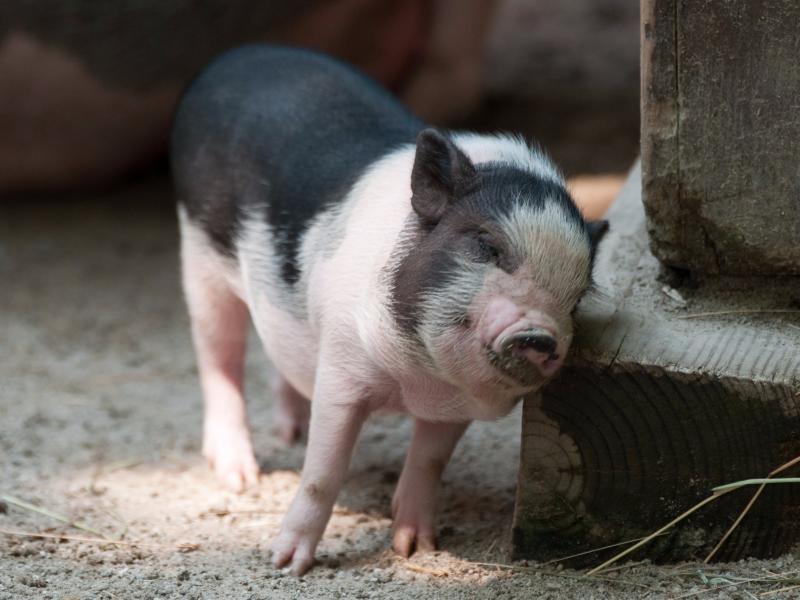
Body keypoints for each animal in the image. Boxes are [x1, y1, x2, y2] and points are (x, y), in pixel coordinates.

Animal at [170, 45, 607, 575]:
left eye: (578, 296)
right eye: (488, 246)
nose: (540, 334)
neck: (414, 380)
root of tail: (234, 57)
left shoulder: (451, 406)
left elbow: (429, 462)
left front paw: (416, 548)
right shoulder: (341, 368)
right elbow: (323, 470)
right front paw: (286, 564)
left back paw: (291, 432)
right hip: (198, 255)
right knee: (219, 355)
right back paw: (240, 476)